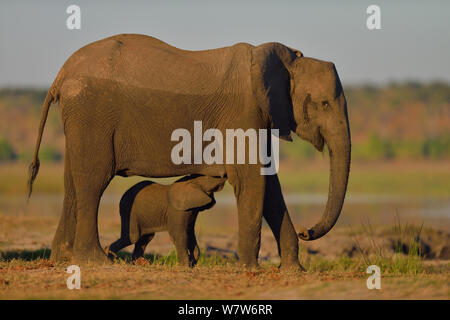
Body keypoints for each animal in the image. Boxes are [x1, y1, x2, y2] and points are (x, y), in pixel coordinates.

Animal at [27, 33, 352, 268]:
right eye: (324, 104)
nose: (307, 231)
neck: (285, 60)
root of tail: (62, 74)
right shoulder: (244, 111)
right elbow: (252, 180)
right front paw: (250, 270)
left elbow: (270, 185)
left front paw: (293, 271)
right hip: (92, 112)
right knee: (94, 179)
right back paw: (96, 261)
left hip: (79, 118)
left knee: (72, 181)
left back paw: (63, 258)